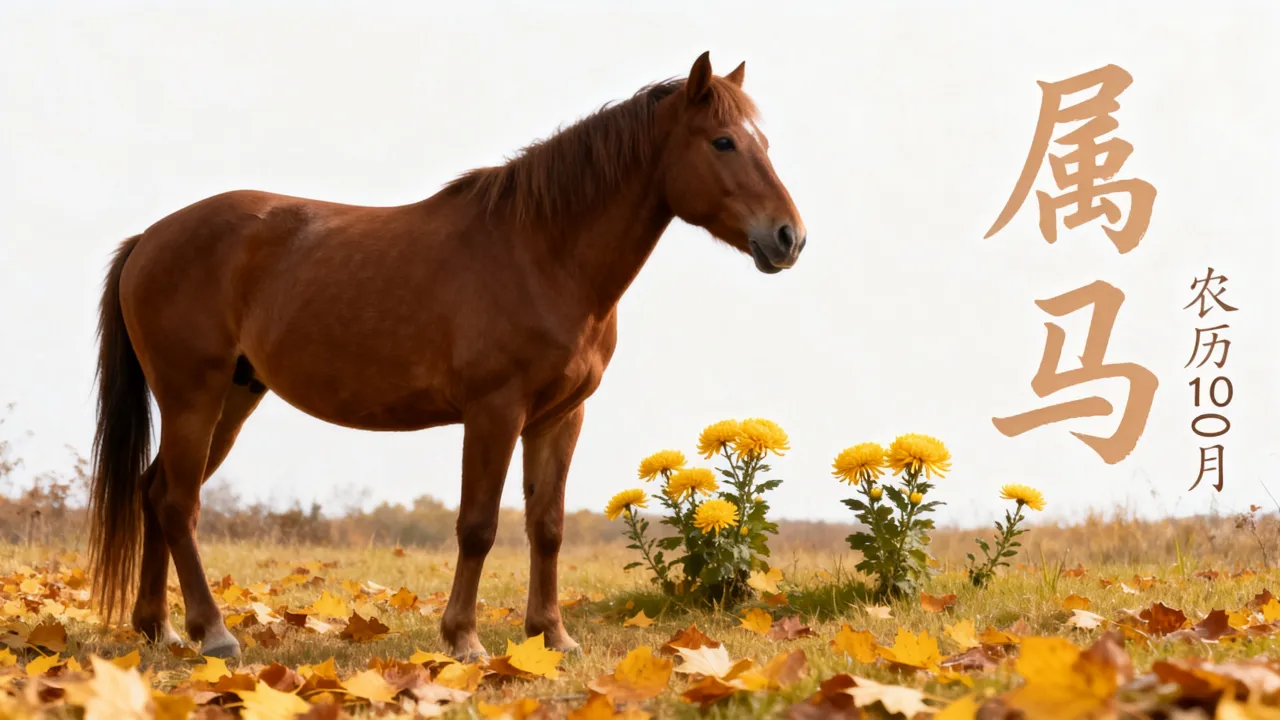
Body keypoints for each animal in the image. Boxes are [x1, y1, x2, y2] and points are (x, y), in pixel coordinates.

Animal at [86, 51, 806, 660]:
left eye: (766, 143)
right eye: (722, 141)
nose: (788, 238)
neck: (542, 253)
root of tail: (150, 238)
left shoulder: (559, 417)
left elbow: (547, 526)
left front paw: (552, 637)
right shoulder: (494, 411)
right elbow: (479, 525)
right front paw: (464, 640)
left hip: (233, 397)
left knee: (154, 491)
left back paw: (157, 628)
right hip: (194, 397)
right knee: (178, 504)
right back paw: (213, 634)